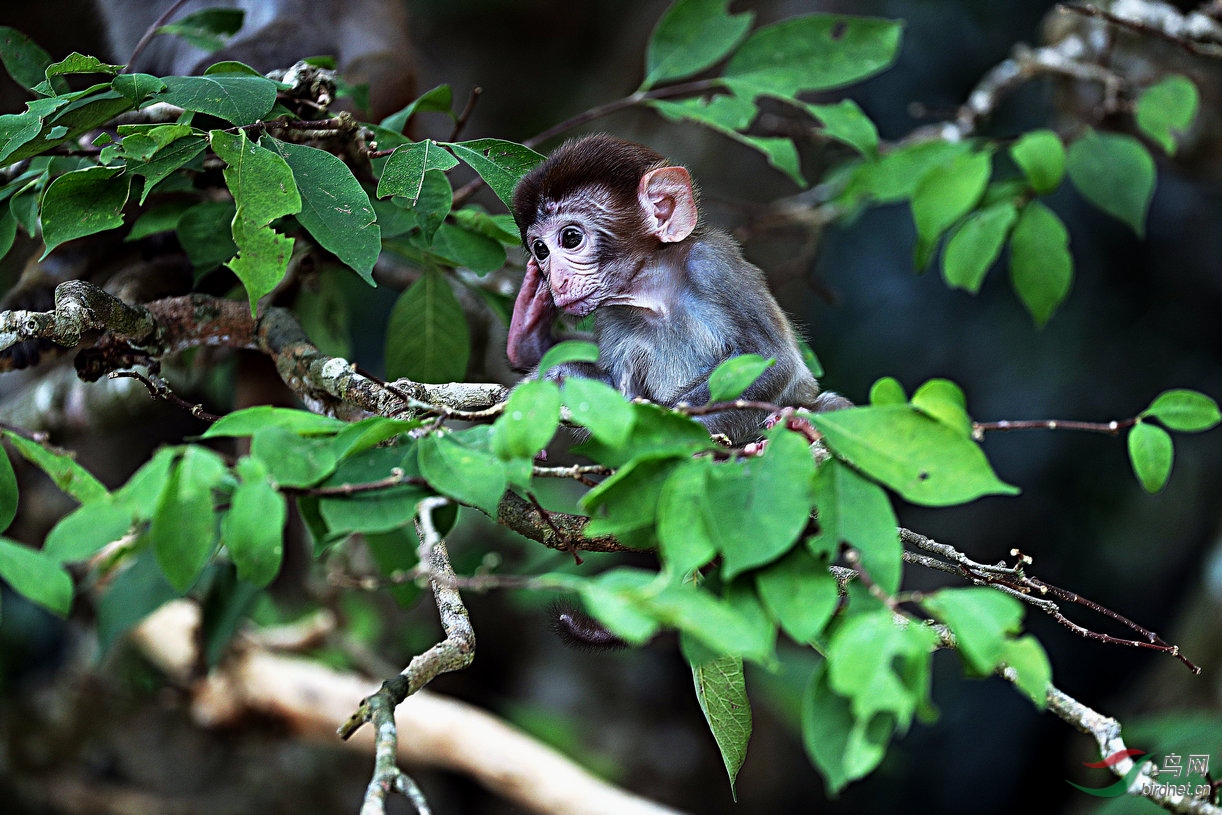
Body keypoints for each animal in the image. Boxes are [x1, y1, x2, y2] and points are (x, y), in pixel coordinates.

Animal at [508, 133, 850, 442]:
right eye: (540, 250)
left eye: (570, 238)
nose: (556, 281)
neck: (657, 295)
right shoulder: (613, 315)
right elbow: (614, 390)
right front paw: (541, 350)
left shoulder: (713, 266)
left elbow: (772, 361)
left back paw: (802, 426)